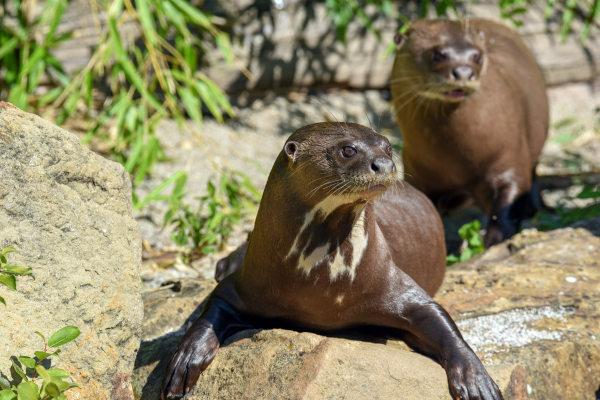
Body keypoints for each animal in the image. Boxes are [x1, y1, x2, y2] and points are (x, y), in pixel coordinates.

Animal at [162, 122, 504, 400]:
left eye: (387, 146)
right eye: (347, 150)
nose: (384, 163)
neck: (323, 284)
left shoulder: (394, 284)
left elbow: (441, 320)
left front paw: (476, 380)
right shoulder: (246, 285)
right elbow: (214, 307)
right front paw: (186, 356)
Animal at [392, 18, 552, 247]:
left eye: (477, 55)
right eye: (438, 54)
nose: (464, 73)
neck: (459, 160)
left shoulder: (510, 157)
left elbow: (507, 204)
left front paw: (495, 240)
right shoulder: (418, 173)